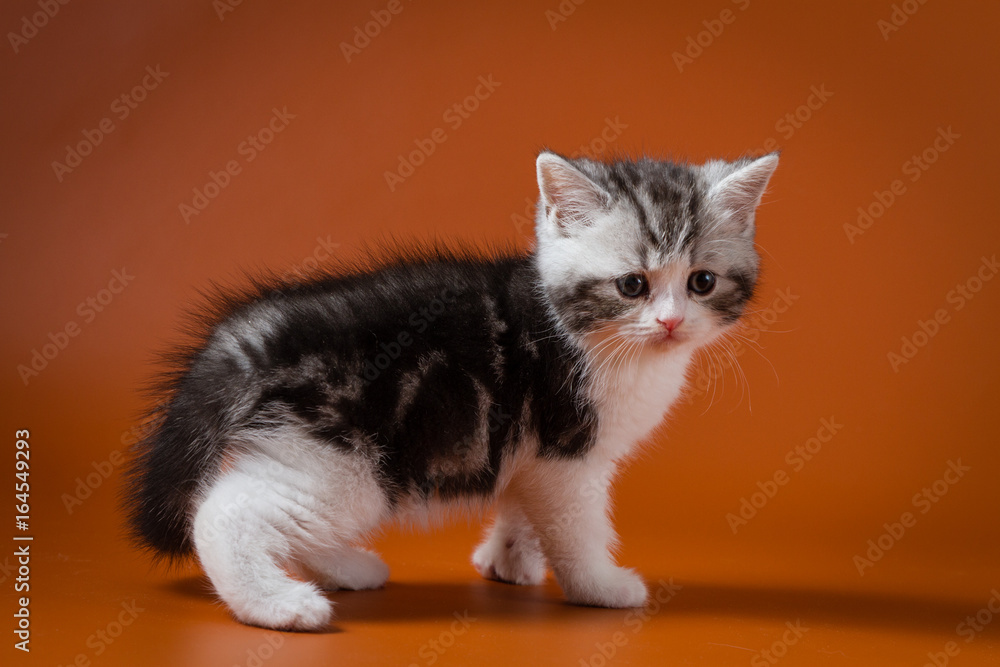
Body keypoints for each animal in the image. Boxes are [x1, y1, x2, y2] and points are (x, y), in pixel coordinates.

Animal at [125, 147, 776, 632]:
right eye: (632, 285)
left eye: (702, 282)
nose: (670, 322)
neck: (582, 331)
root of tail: (256, 332)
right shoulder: (568, 450)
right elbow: (578, 526)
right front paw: (600, 585)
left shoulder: (533, 453)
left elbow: (524, 501)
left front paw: (507, 560)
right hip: (346, 467)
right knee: (224, 511)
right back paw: (277, 604)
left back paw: (341, 567)